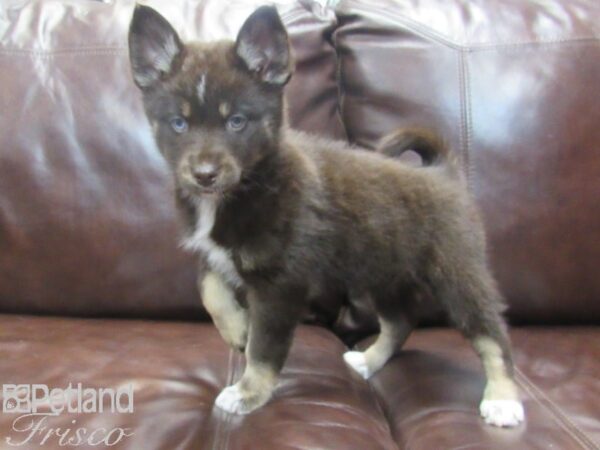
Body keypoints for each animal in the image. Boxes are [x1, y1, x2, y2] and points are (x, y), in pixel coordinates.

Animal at [127, 4, 524, 426]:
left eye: (237, 122)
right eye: (179, 123)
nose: (204, 175)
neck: (244, 188)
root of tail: (443, 172)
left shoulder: (279, 286)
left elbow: (264, 349)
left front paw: (248, 392)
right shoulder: (214, 254)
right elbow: (209, 290)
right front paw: (236, 329)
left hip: (456, 273)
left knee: (492, 333)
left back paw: (503, 399)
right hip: (383, 273)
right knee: (401, 321)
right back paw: (369, 360)